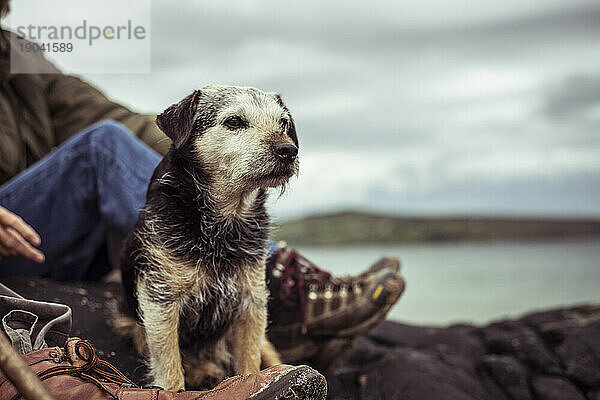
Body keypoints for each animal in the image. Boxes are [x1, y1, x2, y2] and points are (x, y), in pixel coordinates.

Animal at [115, 85, 298, 390]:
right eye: (234, 121)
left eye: (283, 123)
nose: (288, 150)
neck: (224, 224)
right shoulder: (160, 300)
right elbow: (170, 363)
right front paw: (174, 389)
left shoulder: (252, 301)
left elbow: (249, 359)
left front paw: (253, 382)